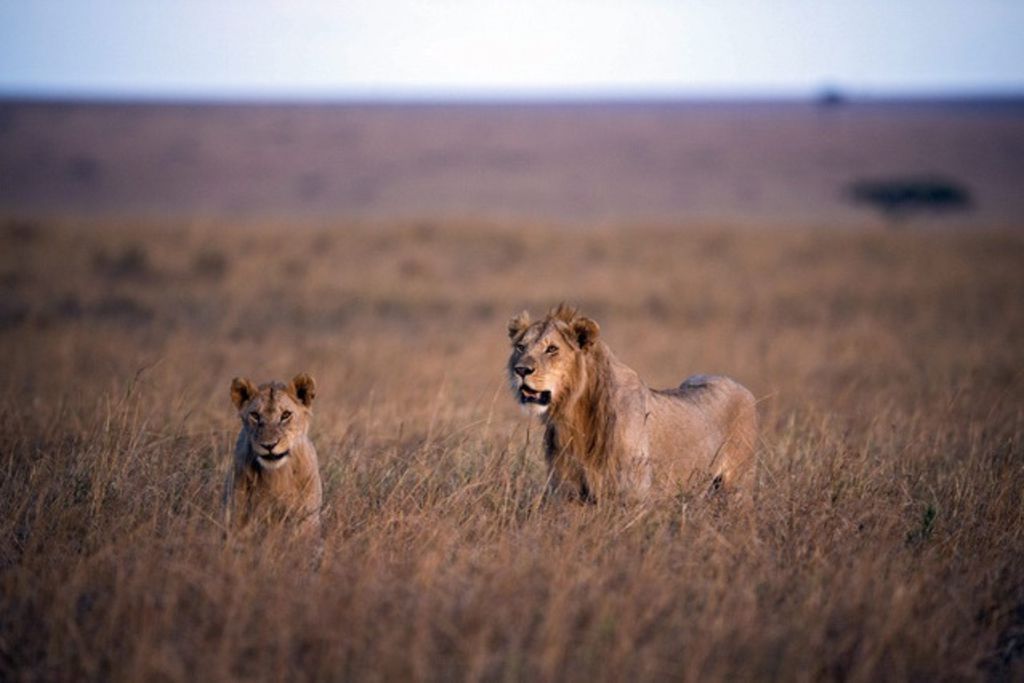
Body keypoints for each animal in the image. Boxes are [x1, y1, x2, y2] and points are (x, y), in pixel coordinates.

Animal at [507, 304, 757, 503]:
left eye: (552, 349)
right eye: (521, 347)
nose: (521, 370)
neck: (574, 413)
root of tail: (739, 386)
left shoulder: (632, 494)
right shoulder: (568, 492)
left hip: (737, 486)